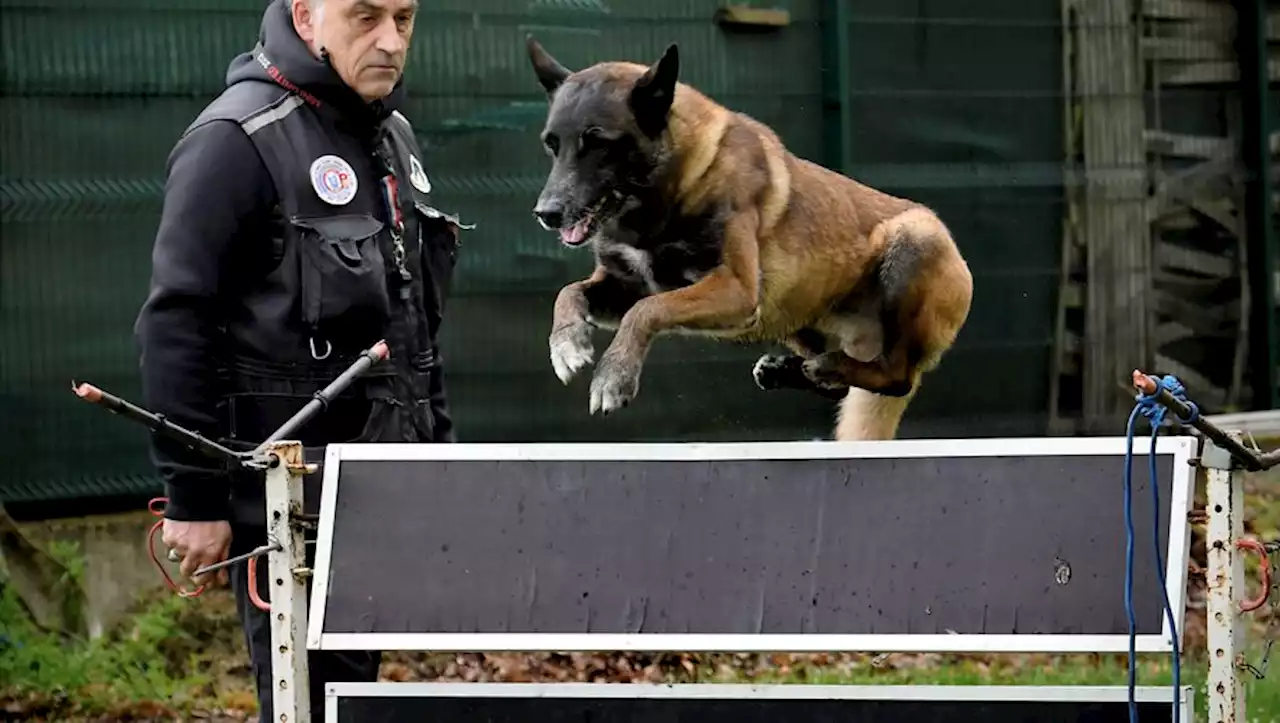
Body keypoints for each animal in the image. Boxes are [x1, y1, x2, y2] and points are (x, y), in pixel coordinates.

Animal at [524, 38, 972, 440]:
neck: (667, 194)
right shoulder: (625, 286)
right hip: (797, 317)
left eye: (598, 143)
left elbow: (647, 310)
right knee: (847, 383)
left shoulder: (735, 289)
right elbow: (570, 293)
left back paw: (828, 366)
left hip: (912, 243)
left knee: (895, 376)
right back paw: (795, 370)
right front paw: (566, 344)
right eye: (552, 145)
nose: (546, 214)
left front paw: (613, 377)